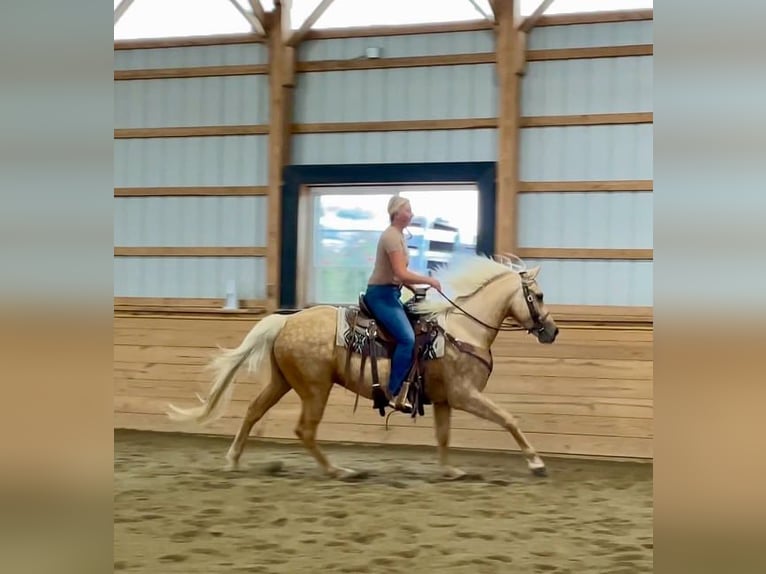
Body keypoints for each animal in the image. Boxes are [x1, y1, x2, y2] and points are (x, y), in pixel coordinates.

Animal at [168, 256, 560, 482]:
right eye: (539, 296)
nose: (552, 331)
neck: (464, 330)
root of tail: (286, 321)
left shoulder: (445, 400)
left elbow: (443, 436)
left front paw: (450, 470)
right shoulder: (466, 394)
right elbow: (509, 419)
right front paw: (536, 463)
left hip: (284, 382)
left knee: (253, 411)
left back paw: (234, 460)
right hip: (315, 388)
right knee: (304, 430)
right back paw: (338, 471)